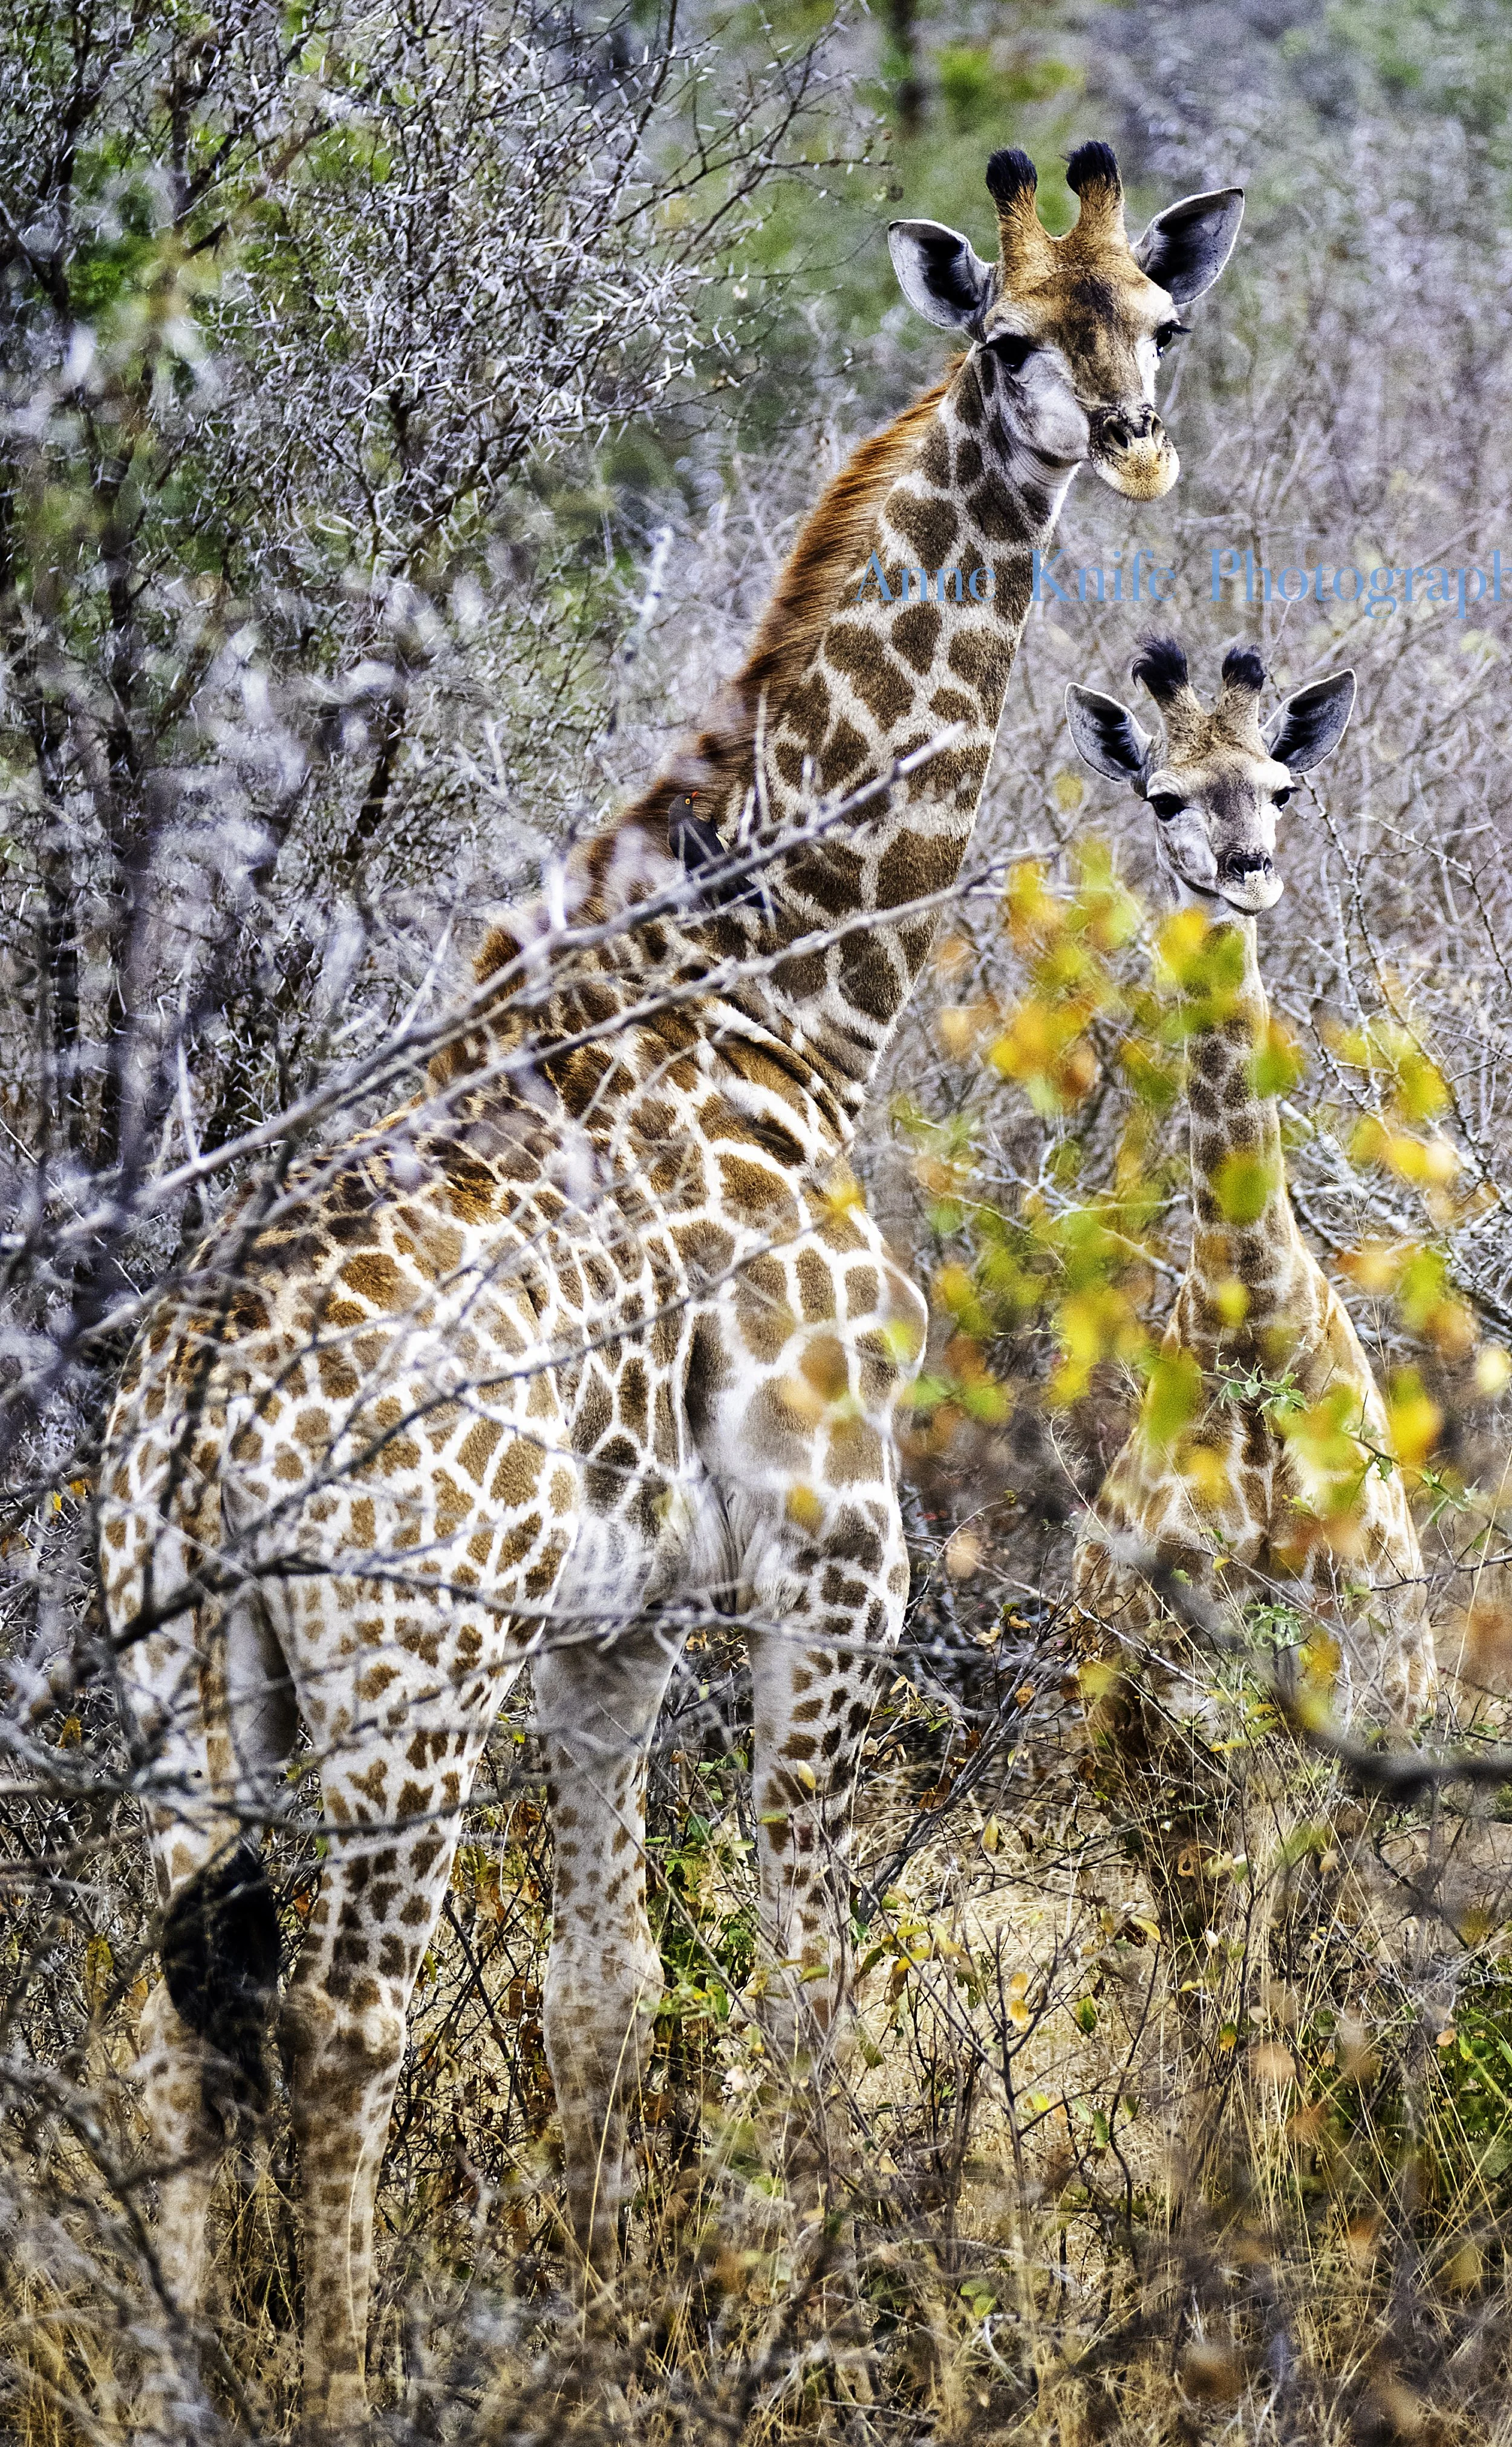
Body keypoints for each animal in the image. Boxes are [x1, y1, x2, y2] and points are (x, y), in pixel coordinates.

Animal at [98, 147, 1243, 2428]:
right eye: (1008, 335)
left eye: (1156, 316)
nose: (1128, 438)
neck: (789, 988)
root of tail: (190, 1414)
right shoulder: (836, 1535)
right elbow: (799, 1967)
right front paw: (814, 2314)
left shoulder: (609, 1633)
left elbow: (606, 1984)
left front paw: (635, 2306)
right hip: (401, 1680)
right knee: (342, 2018)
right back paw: (343, 2375)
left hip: (177, 1693)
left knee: (154, 2013)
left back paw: (184, 2367)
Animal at [1063, 635, 1438, 1953]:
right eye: (1163, 797)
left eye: (1279, 786)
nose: (1247, 871)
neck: (1259, 1330)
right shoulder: (1207, 1713)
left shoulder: (1342, 1708)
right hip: (1131, 1769)